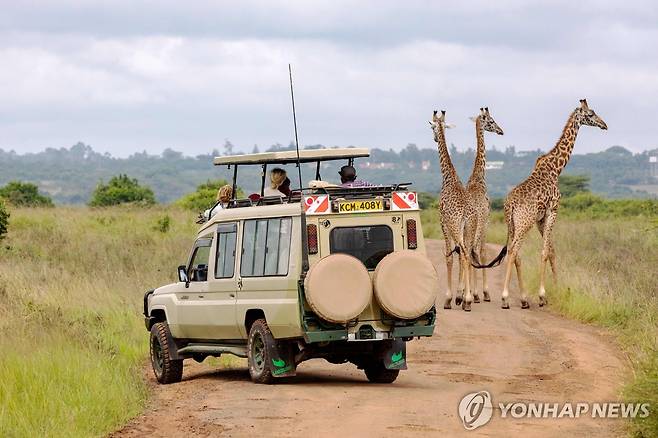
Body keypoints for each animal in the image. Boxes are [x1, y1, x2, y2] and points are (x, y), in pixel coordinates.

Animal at [480, 101, 608, 310]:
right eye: (591, 114)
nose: (604, 125)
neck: (556, 169)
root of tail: (510, 204)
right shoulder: (553, 210)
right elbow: (545, 251)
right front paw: (543, 295)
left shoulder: (541, 219)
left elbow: (552, 251)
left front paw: (559, 289)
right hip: (524, 222)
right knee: (513, 251)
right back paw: (506, 298)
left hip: (512, 224)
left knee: (515, 252)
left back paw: (522, 299)